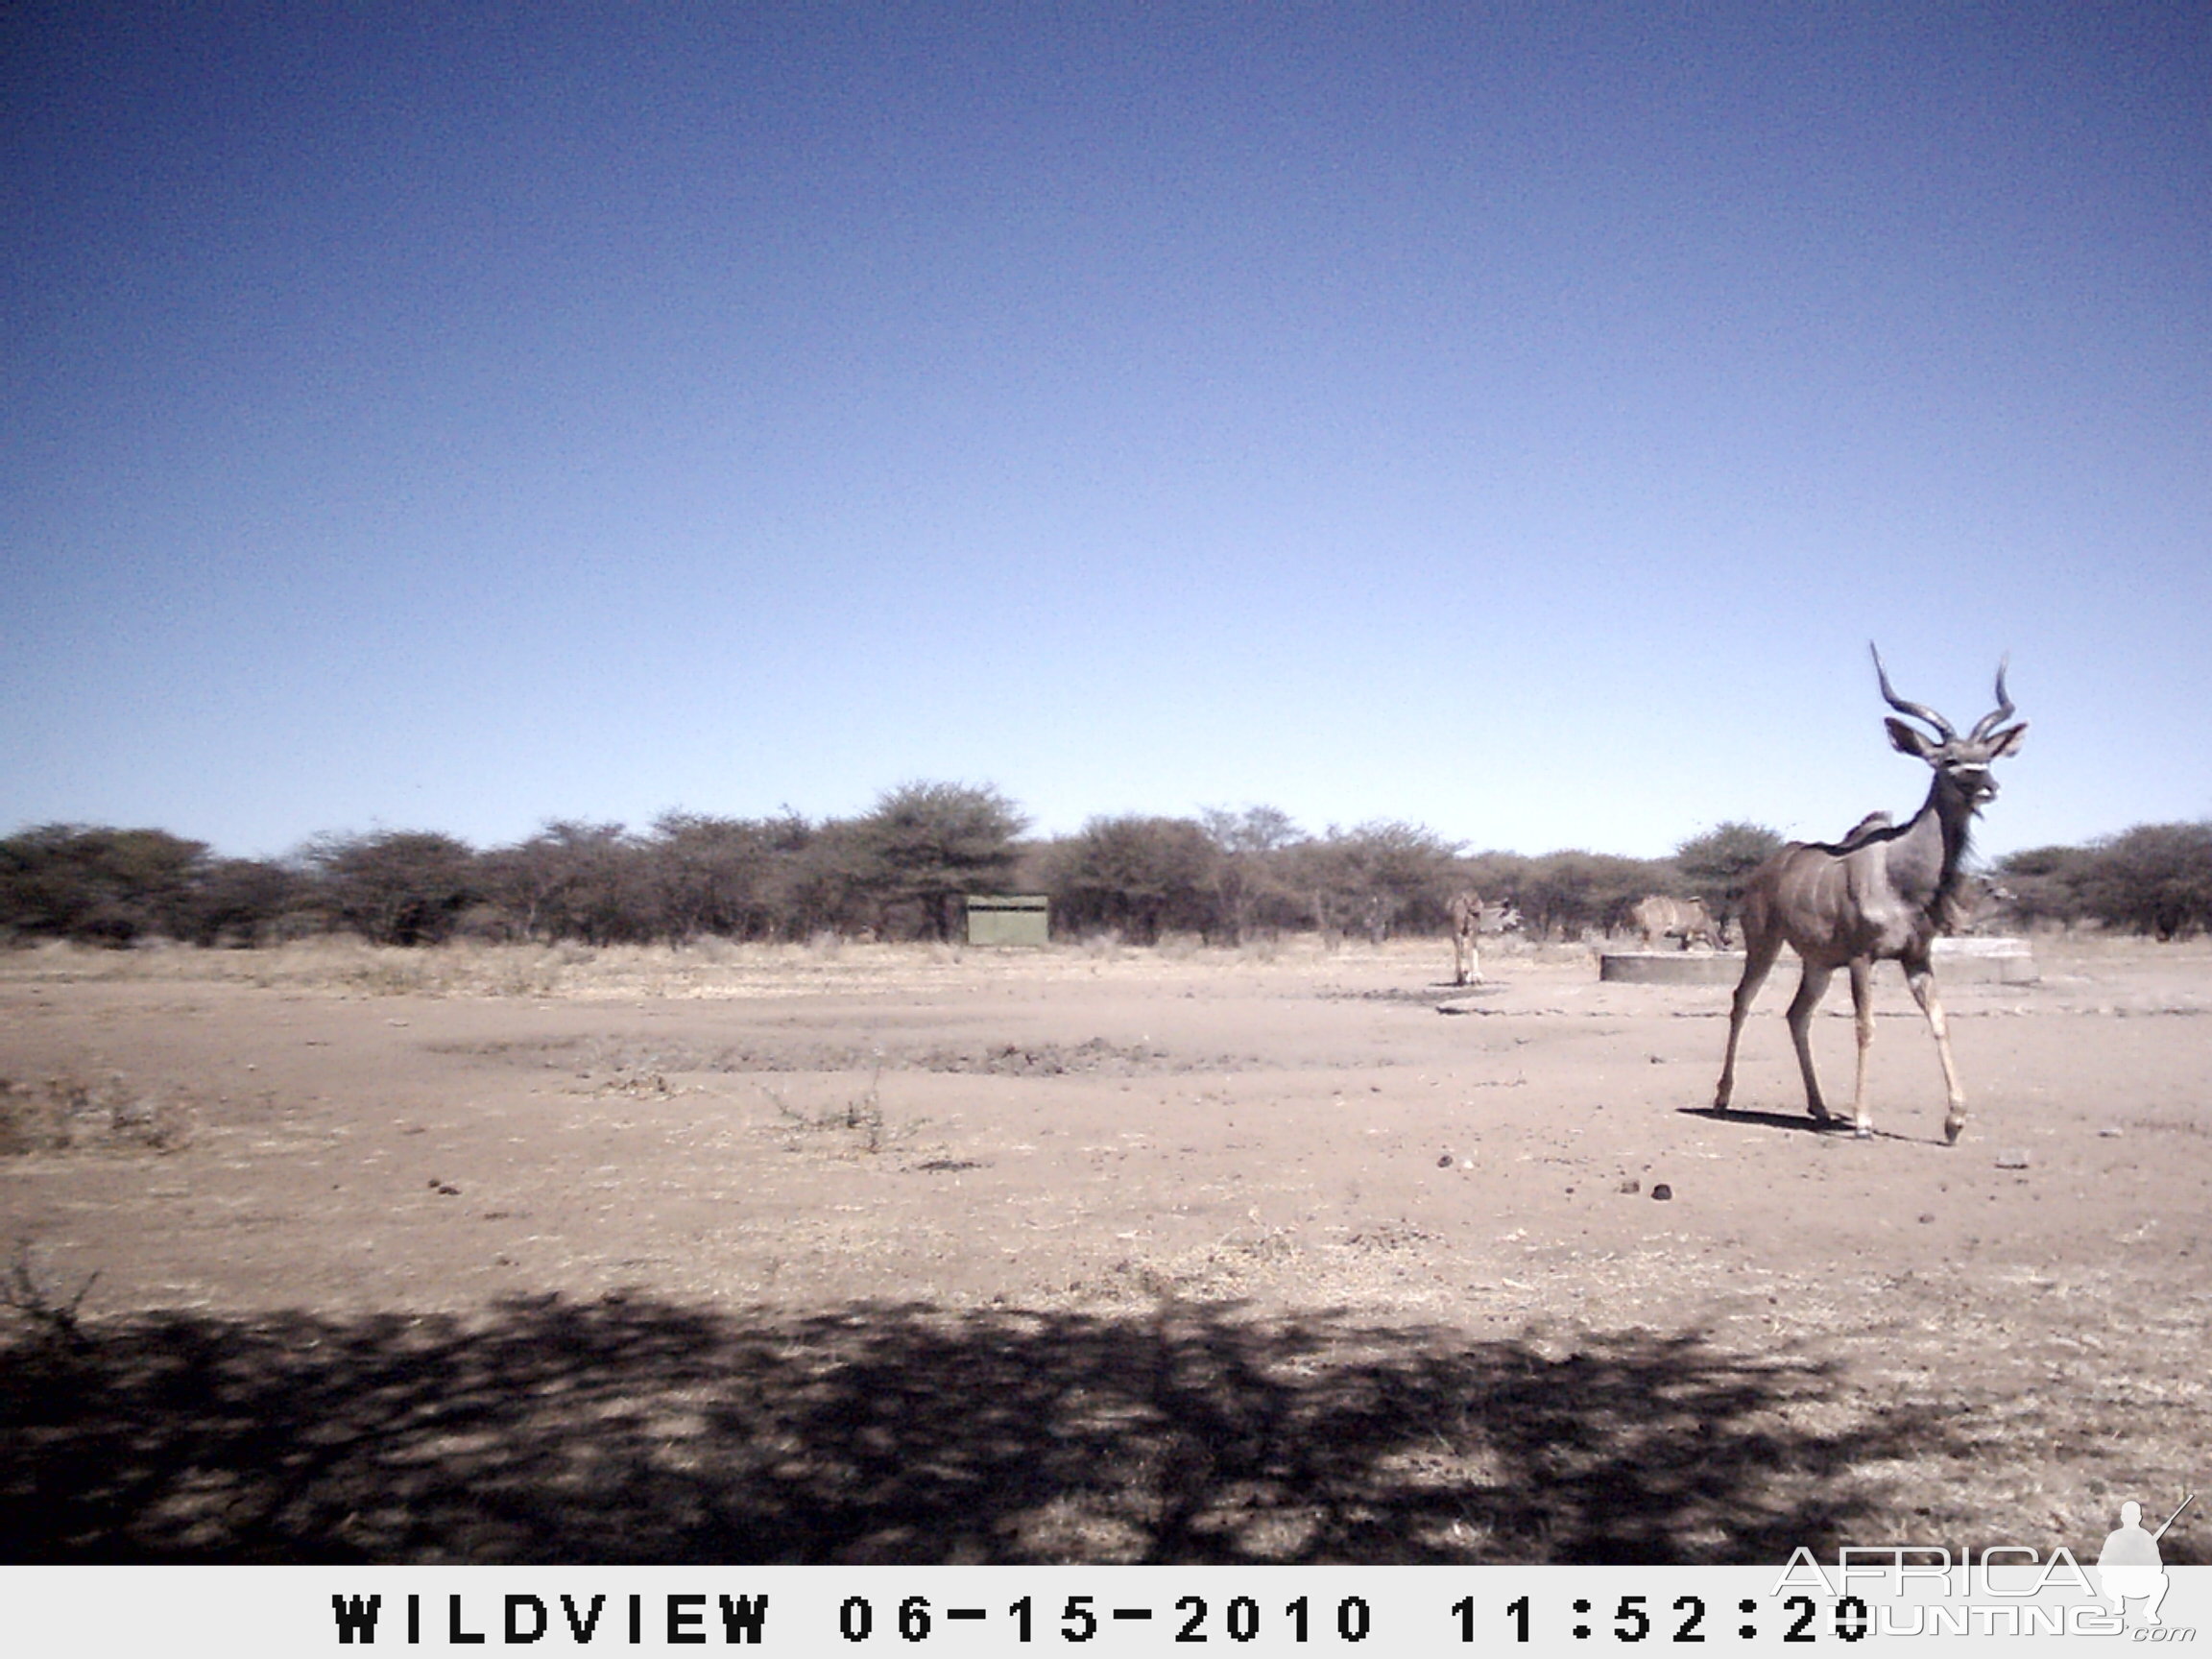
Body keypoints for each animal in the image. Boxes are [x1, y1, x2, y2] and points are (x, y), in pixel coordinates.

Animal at [1707, 645, 2034, 1141]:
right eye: (1948, 760)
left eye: (1987, 757)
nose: (1988, 787)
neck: (1903, 877)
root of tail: (1767, 869)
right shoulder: (1863, 958)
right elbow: (1865, 1025)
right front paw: (1862, 1118)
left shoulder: (1917, 958)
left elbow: (1939, 1020)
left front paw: (1955, 1120)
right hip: (1764, 943)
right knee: (1742, 1000)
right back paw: (1724, 1097)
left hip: (1819, 963)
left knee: (1797, 1013)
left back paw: (1820, 1108)